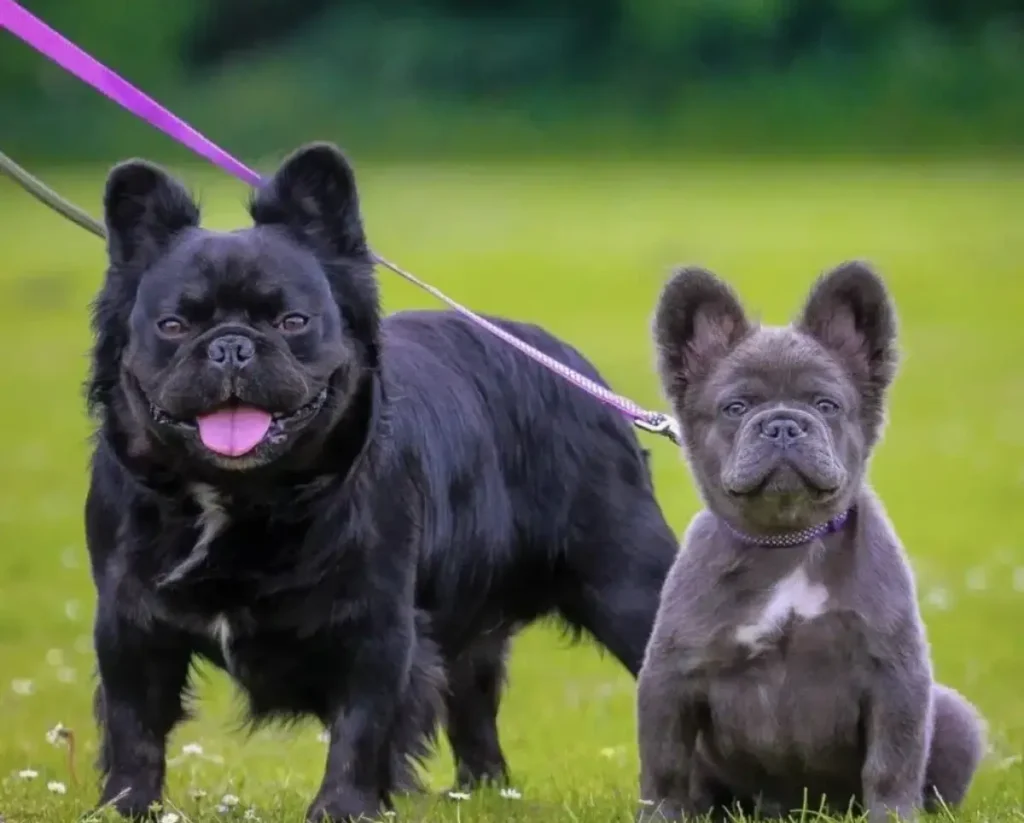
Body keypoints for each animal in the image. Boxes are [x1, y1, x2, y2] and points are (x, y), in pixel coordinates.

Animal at [86, 143, 679, 823]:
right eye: (174, 327)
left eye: (292, 321)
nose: (232, 346)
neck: (243, 495)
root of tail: (577, 372)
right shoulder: (130, 625)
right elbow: (134, 726)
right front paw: (124, 808)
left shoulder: (376, 627)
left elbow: (361, 729)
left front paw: (340, 810)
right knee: (472, 698)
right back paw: (483, 792)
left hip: (628, 583)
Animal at [638, 266, 983, 823]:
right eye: (736, 407)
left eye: (826, 405)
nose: (783, 423)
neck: (788, 540)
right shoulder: (671, 679)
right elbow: (665, 765)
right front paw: (663, 816)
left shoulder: (896, 678)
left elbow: (892, 763)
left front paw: (891, 815)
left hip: (953, 719)